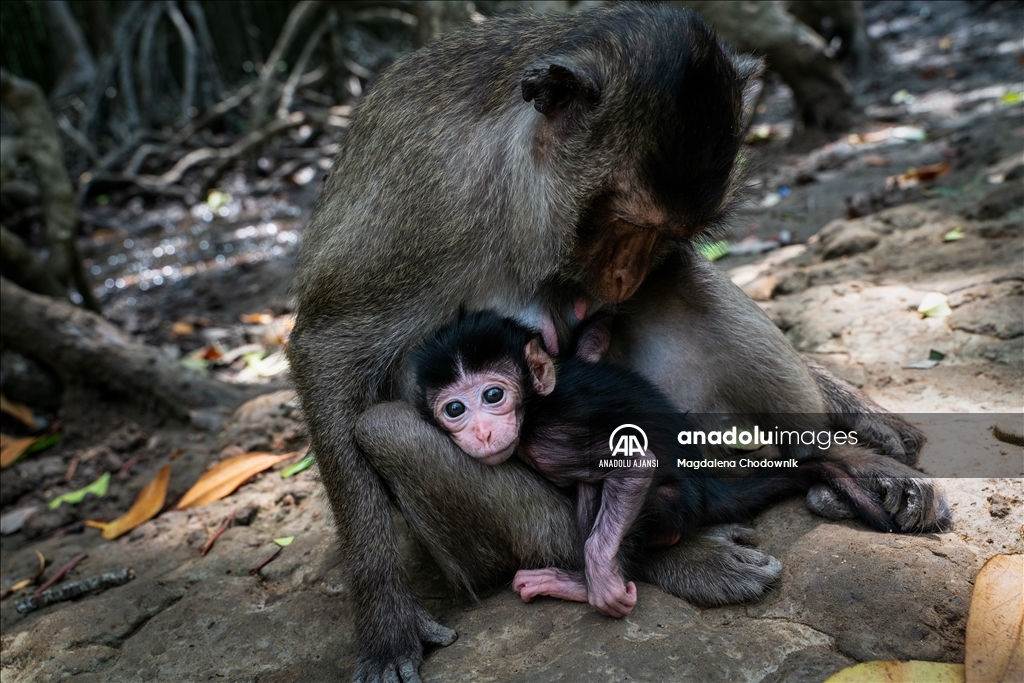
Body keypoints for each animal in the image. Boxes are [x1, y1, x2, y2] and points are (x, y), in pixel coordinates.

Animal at [411, 309, 811, 614]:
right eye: (455, 409)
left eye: (493, 395)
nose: (481, 432)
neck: (534, 408)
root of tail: (710, 488)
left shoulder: (556, 436)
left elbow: (636, 463)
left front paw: (602, 582)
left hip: (674, 506)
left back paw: (582, 584)